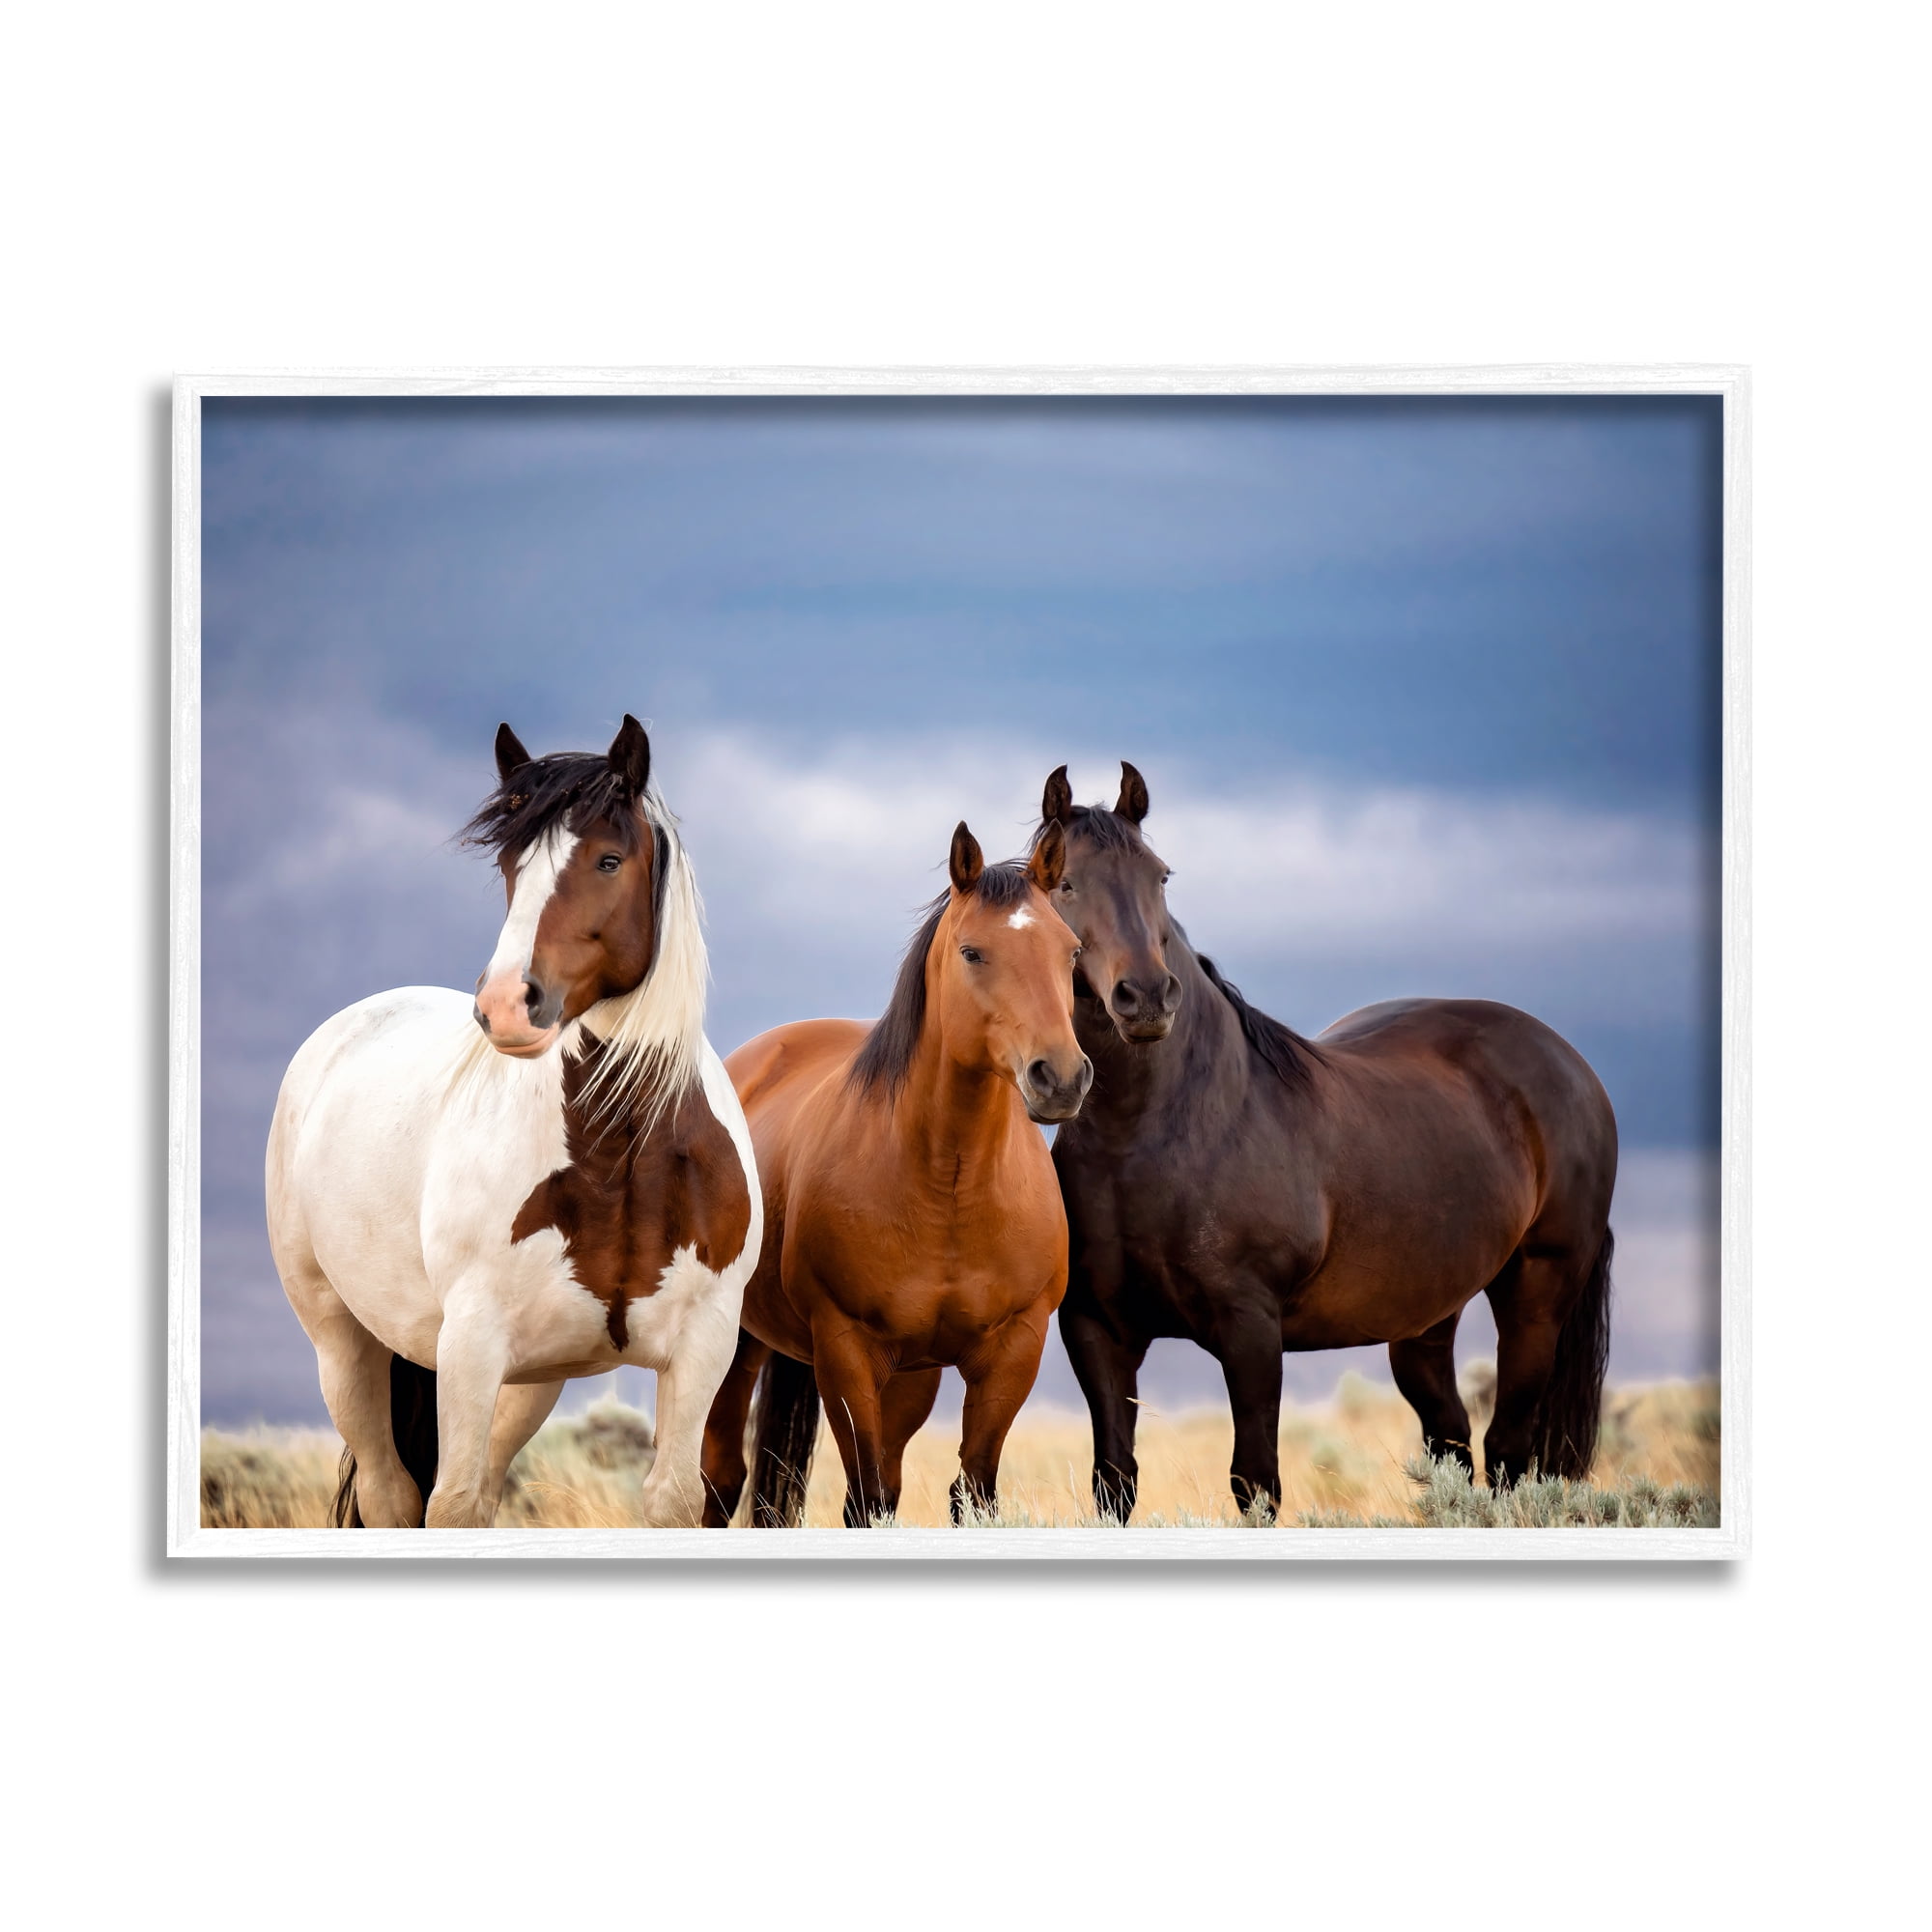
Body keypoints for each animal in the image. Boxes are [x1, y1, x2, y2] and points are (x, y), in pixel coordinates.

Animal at [265, 715, 761, 1528]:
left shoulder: (703, 1346)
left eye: (608, 859)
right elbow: (452, 1502)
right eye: (508, 863)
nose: (503, 1004)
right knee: (392, 1494)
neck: (619, 1156)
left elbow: (673, 1497)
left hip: (530, 1382)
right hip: (342, 1344)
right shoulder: (471, 1344)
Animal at [698, 820, 1091, 1527]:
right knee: (722, 1477)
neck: (950, 1188)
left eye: (1070, 952)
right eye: (972, 952)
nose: (1062, 1077)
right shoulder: (847, 1350)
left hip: (910, 1376)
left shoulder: (1013, 1350)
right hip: (738, 1344)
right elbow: (866, 1497)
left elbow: (972, 1490)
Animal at [1037, 762, 1618, 1519]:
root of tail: (1571, 1064)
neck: (1149, 1138)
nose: (1148, 998)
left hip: (1536, 1297)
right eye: (1064, 882)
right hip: (1426, 1317)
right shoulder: (1097, 1331)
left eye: (1160, 876)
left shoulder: (1251, 1331)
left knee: (1508, 1453)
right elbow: (1116, 1482)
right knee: (1452, 1443)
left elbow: (1255, 1484)